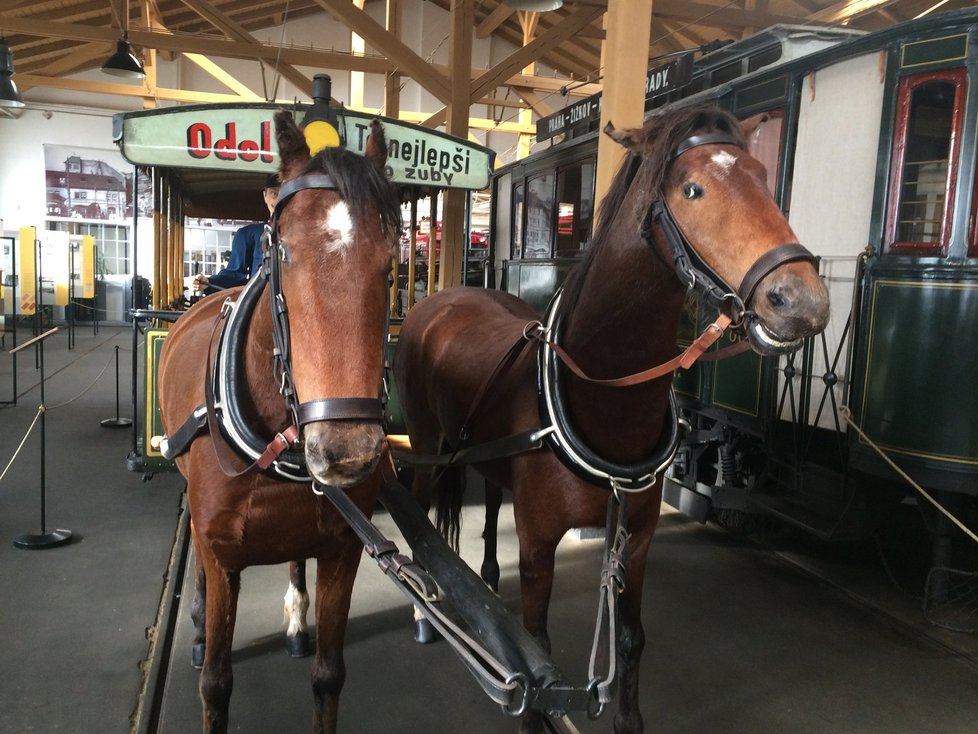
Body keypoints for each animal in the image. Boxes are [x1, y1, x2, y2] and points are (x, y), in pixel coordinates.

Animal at [158, 110, 402, 734]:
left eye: (391, 261)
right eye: (283, 252)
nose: (347, 450)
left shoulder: (342, 550)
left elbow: (329, 677)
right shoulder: (222, 554)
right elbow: (216, 684)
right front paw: (205, 641)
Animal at [392, 105, 828, 734]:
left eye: (763, 178)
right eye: (692, 189)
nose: (802, 301)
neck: (603, 398)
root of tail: (443, 296)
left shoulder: (637, 537)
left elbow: (631, 638)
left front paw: (629, 720)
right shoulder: (539, 541)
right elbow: (540, 653)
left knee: (492, 498)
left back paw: (490, 576)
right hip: (428, 439)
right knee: (421, 507)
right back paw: (428, 614)